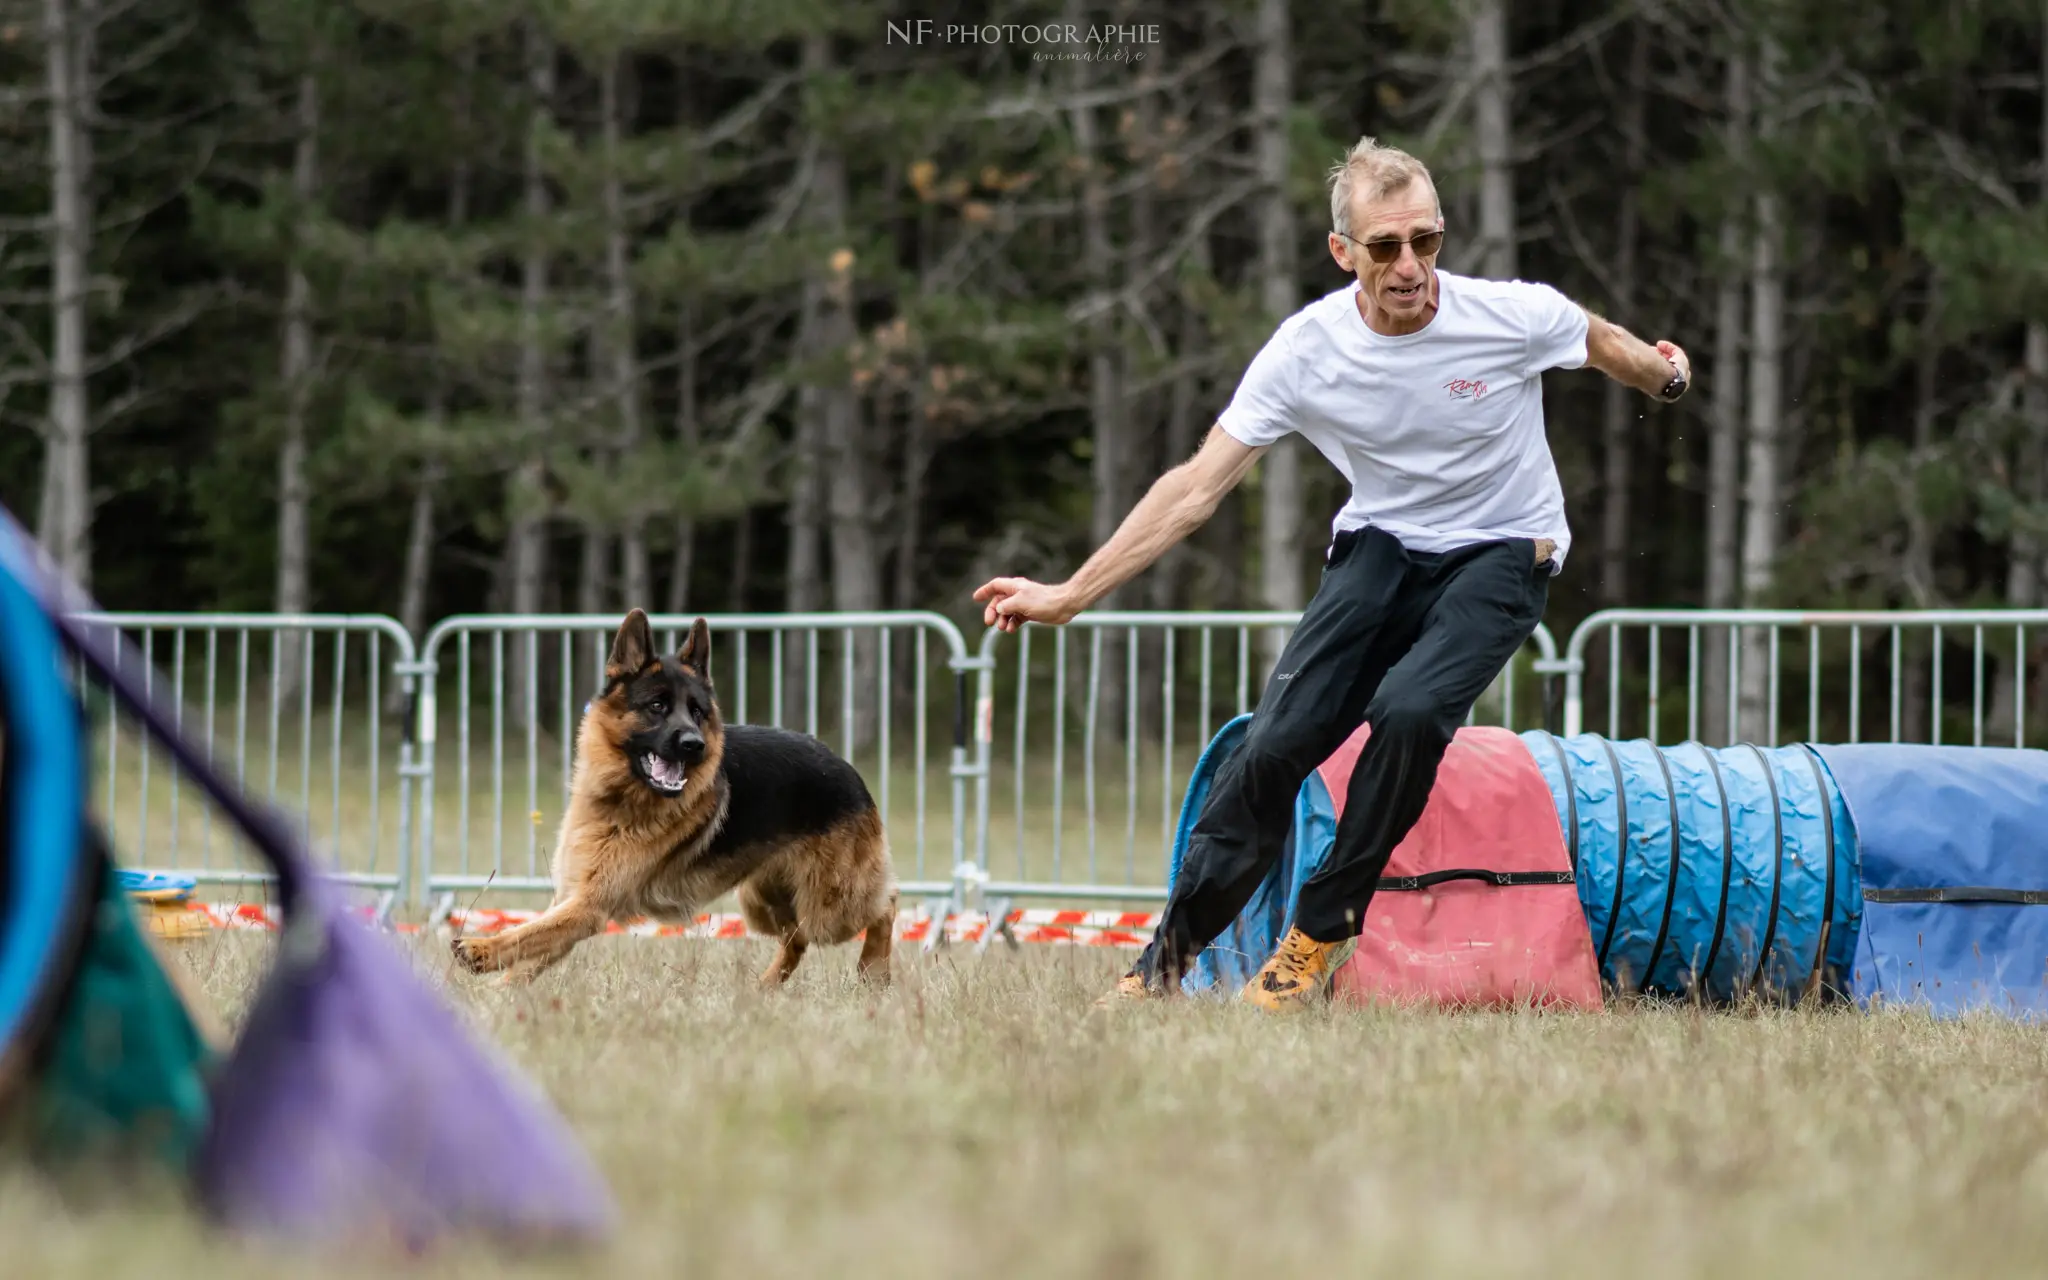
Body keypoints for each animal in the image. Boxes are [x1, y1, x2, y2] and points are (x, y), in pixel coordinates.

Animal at [452, 610, 901, 987]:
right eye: (657, 706)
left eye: (698, 712)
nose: (695, 745)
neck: (621, 800)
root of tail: (845, 767)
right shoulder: (571, 901)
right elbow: (531, 947)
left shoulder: (588, 907)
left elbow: (525, 933)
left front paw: (479, 948)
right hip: (760, 903)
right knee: (798, 938)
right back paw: (765, 988)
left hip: (830, 908)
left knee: (886, 904)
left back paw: (873, 971)